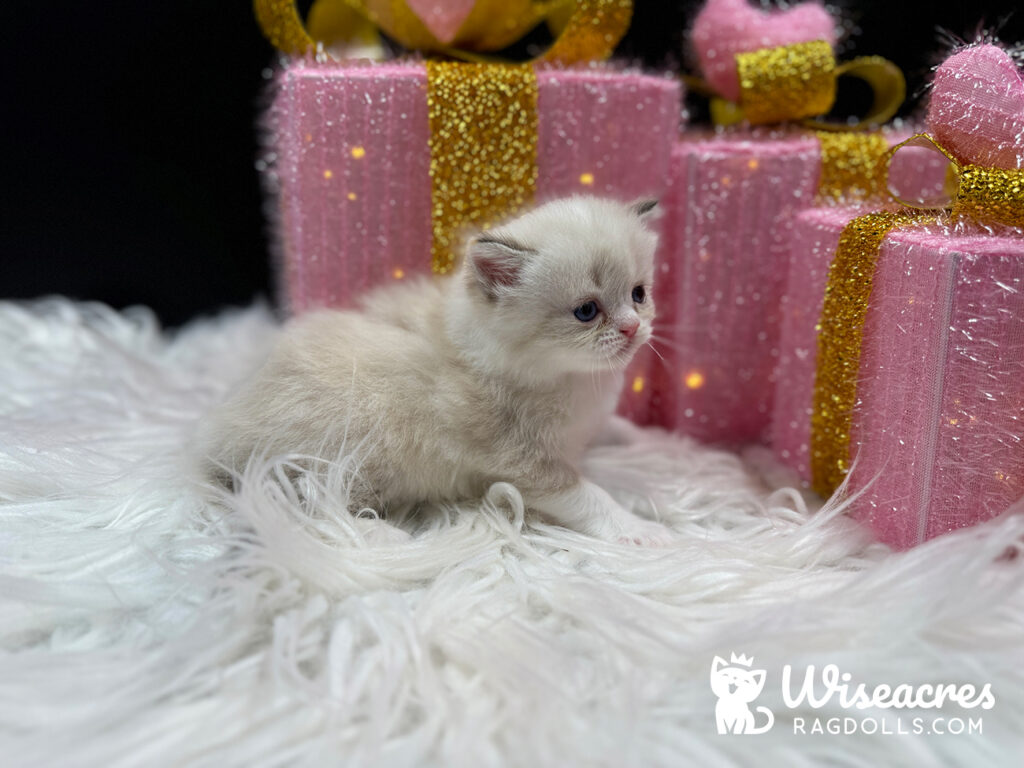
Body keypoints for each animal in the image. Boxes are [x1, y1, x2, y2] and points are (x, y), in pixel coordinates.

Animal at [203, 198, 675, 548]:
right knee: (308, 500)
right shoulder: (522, 462)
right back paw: (382, 535)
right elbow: (588, 495)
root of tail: (216, 437)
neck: (571, 380)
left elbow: (611, 427)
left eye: (638, 294)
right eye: (586, 312)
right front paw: (639, 529)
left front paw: (649, 439)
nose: (632, 328)